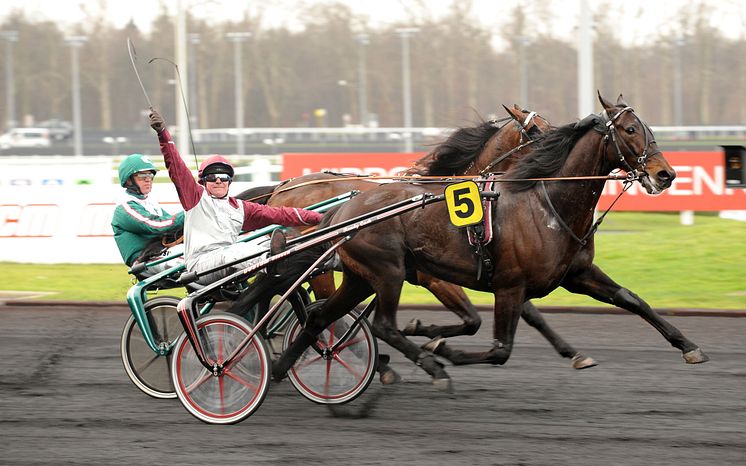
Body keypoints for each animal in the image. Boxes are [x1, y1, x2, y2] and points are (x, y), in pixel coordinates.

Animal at [274, 93, 708, 392]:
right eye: (630, 130)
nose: (666, 174)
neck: (546, 203)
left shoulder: (574, 273)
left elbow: (632, 300)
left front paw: (688, 345)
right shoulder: (501, 284)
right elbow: (497, 344)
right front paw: (438, 347)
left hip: (361, 277)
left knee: (319, 317)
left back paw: (283, 369)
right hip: (385, 273)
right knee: (374, 324)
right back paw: (420, 365)